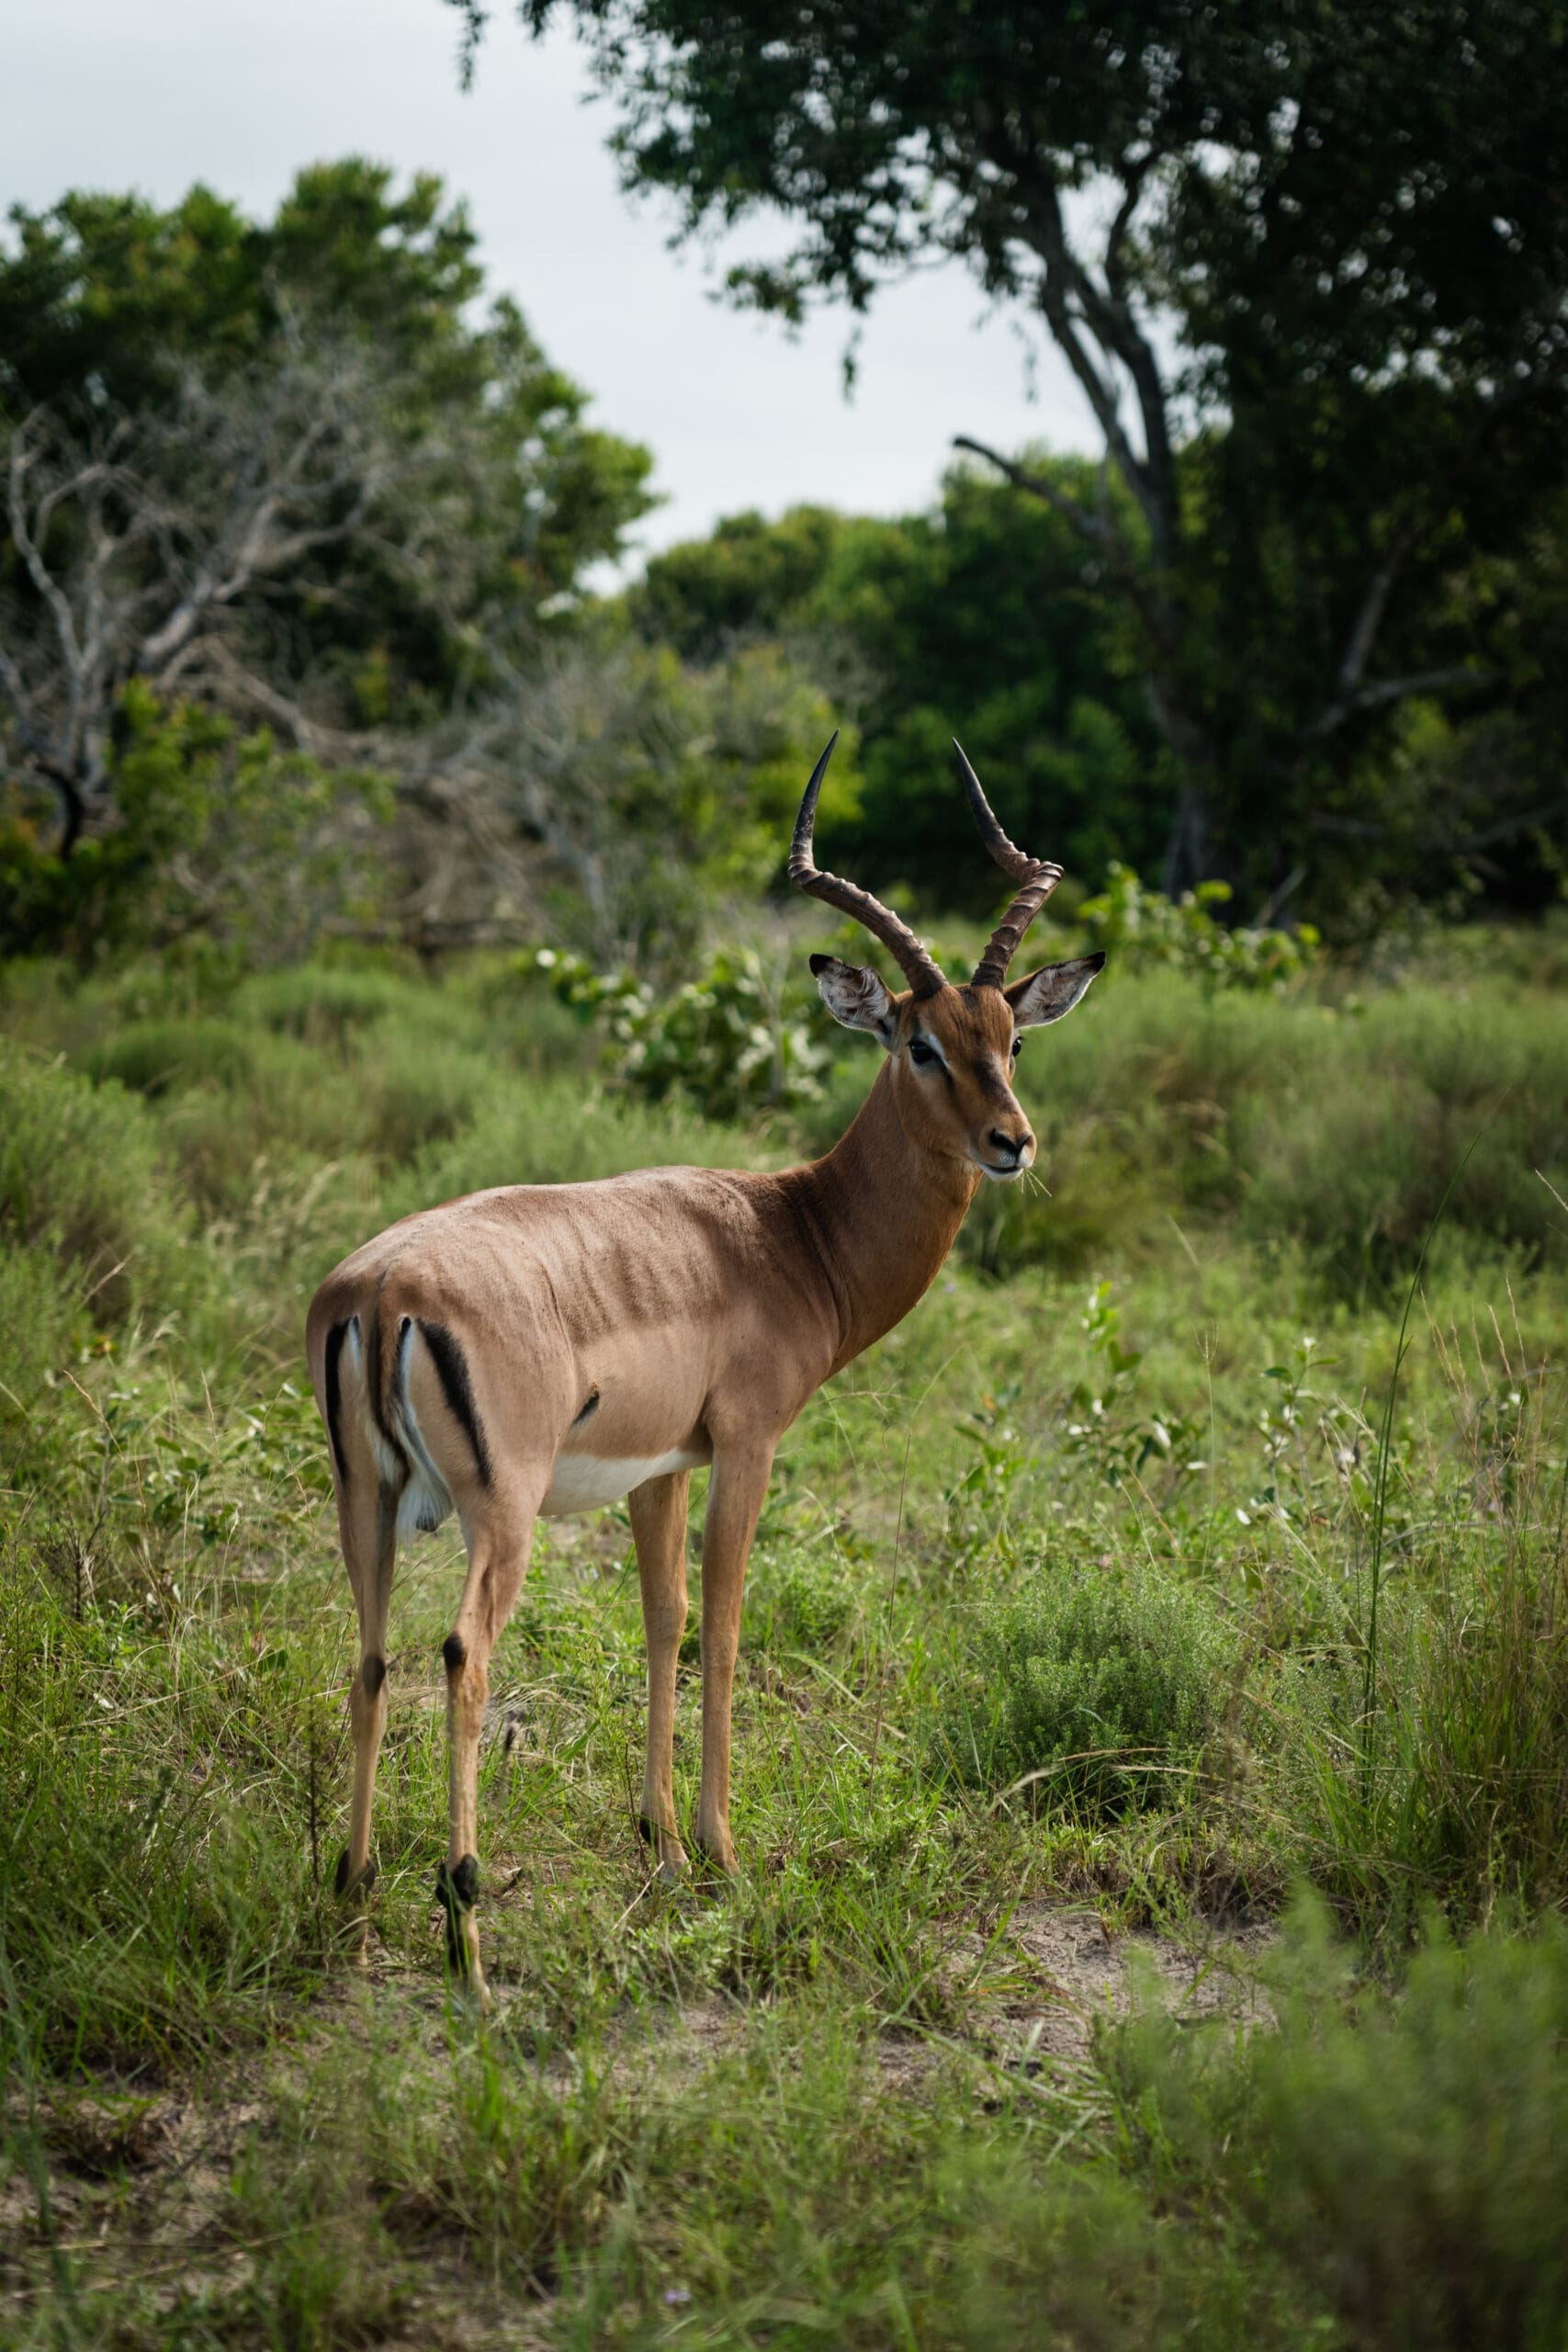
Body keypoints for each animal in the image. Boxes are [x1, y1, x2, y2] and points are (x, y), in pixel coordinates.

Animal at [306, 739, 1103, 2001]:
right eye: (919, 1042)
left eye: (1010, 1039)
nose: (1011, 1143)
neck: (790, 1232)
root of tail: (382, 1292)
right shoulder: (748, 1443)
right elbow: (725, 1625)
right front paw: (727, 1855)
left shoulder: (659, 1468)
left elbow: (663, 1621)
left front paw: (665, 1846)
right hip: (502, 1514)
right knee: (463, 1655)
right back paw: (467, 1933)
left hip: (367, 1502)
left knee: (372, 1658)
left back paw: (351, 1887)